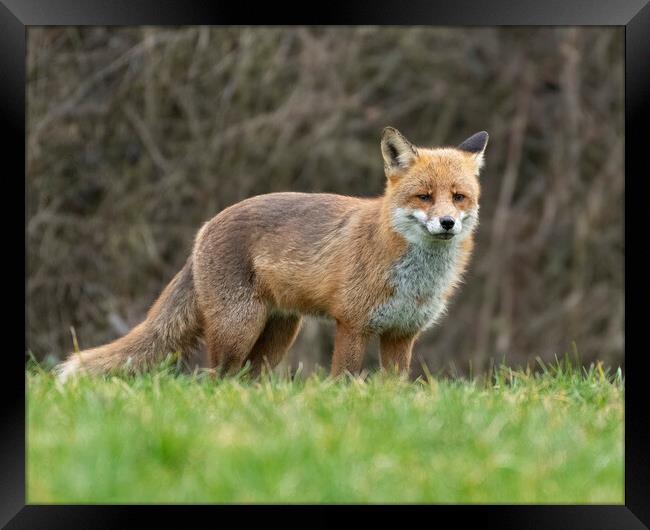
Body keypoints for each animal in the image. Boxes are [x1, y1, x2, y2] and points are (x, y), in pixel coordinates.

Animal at [57, 125, 486, 378]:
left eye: (458, 197)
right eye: (424, 196)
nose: (447, 223)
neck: (415, 280)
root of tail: (205, 227)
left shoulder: (402, 334)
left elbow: (393, 389)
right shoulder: (352, 324)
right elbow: (343, 382)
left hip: (278, 335)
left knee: (247, 380)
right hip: (238, 329)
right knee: (214, 380)